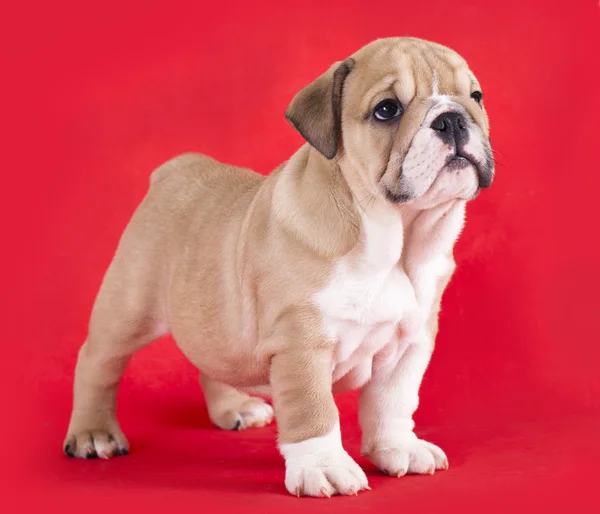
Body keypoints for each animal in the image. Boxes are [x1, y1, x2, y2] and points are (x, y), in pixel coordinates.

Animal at [63, 37, 494, 496]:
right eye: (387, 110)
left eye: (475, 97)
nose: (452, 119)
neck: (395, 239)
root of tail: (174, 169)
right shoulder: (300, 344)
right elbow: (313, 411)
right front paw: (324, 466)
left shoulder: (410, 342)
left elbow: (393, 401)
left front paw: (399, 448)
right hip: (128, 309)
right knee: (98, 362)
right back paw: (93, 433)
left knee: (213, 361)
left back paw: (234, 408)